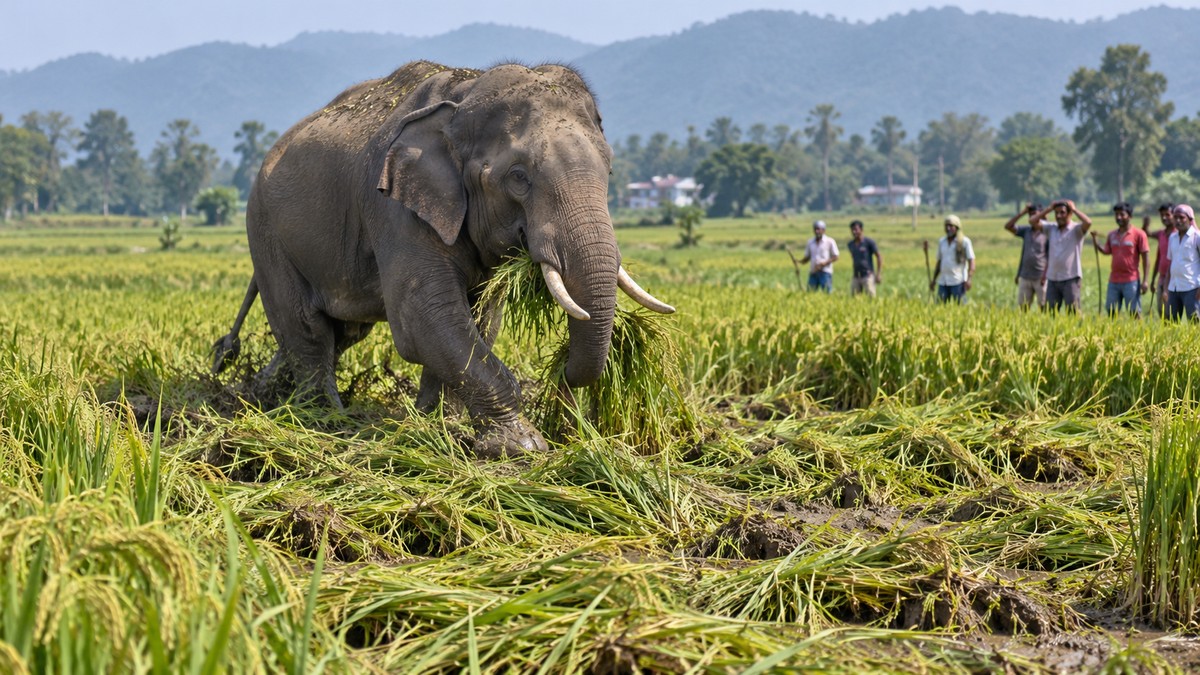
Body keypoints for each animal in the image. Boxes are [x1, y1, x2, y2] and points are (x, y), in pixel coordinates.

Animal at [212, 60, 674, 457]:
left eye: (609, 171)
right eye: (518, 177)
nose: (562, 380)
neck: (464, 94)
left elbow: (477, 319)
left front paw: (438, 425)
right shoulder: (393, 207)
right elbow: (423, 316)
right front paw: (521, 447)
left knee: (343, 332)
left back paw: (267, 396)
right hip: (266, 233)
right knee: (307, 329)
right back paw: (322, 419)